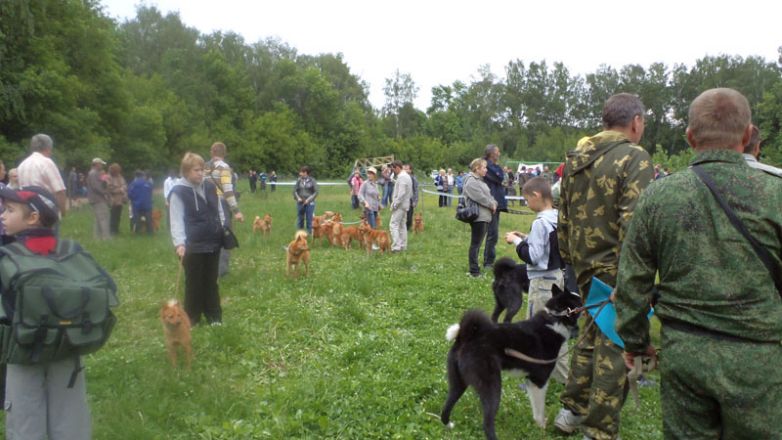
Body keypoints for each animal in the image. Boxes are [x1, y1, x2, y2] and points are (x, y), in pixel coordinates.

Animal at [441, 285, 581, 439]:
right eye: (580, 301)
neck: (555, 317)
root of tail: (467, 336)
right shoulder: (539, 381)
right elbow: (539, 409)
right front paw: (541, 428)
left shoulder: (530, 381)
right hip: (492, 386)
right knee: (487, 423)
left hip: (458, 383)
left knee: (446, 407)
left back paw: (448, 426)